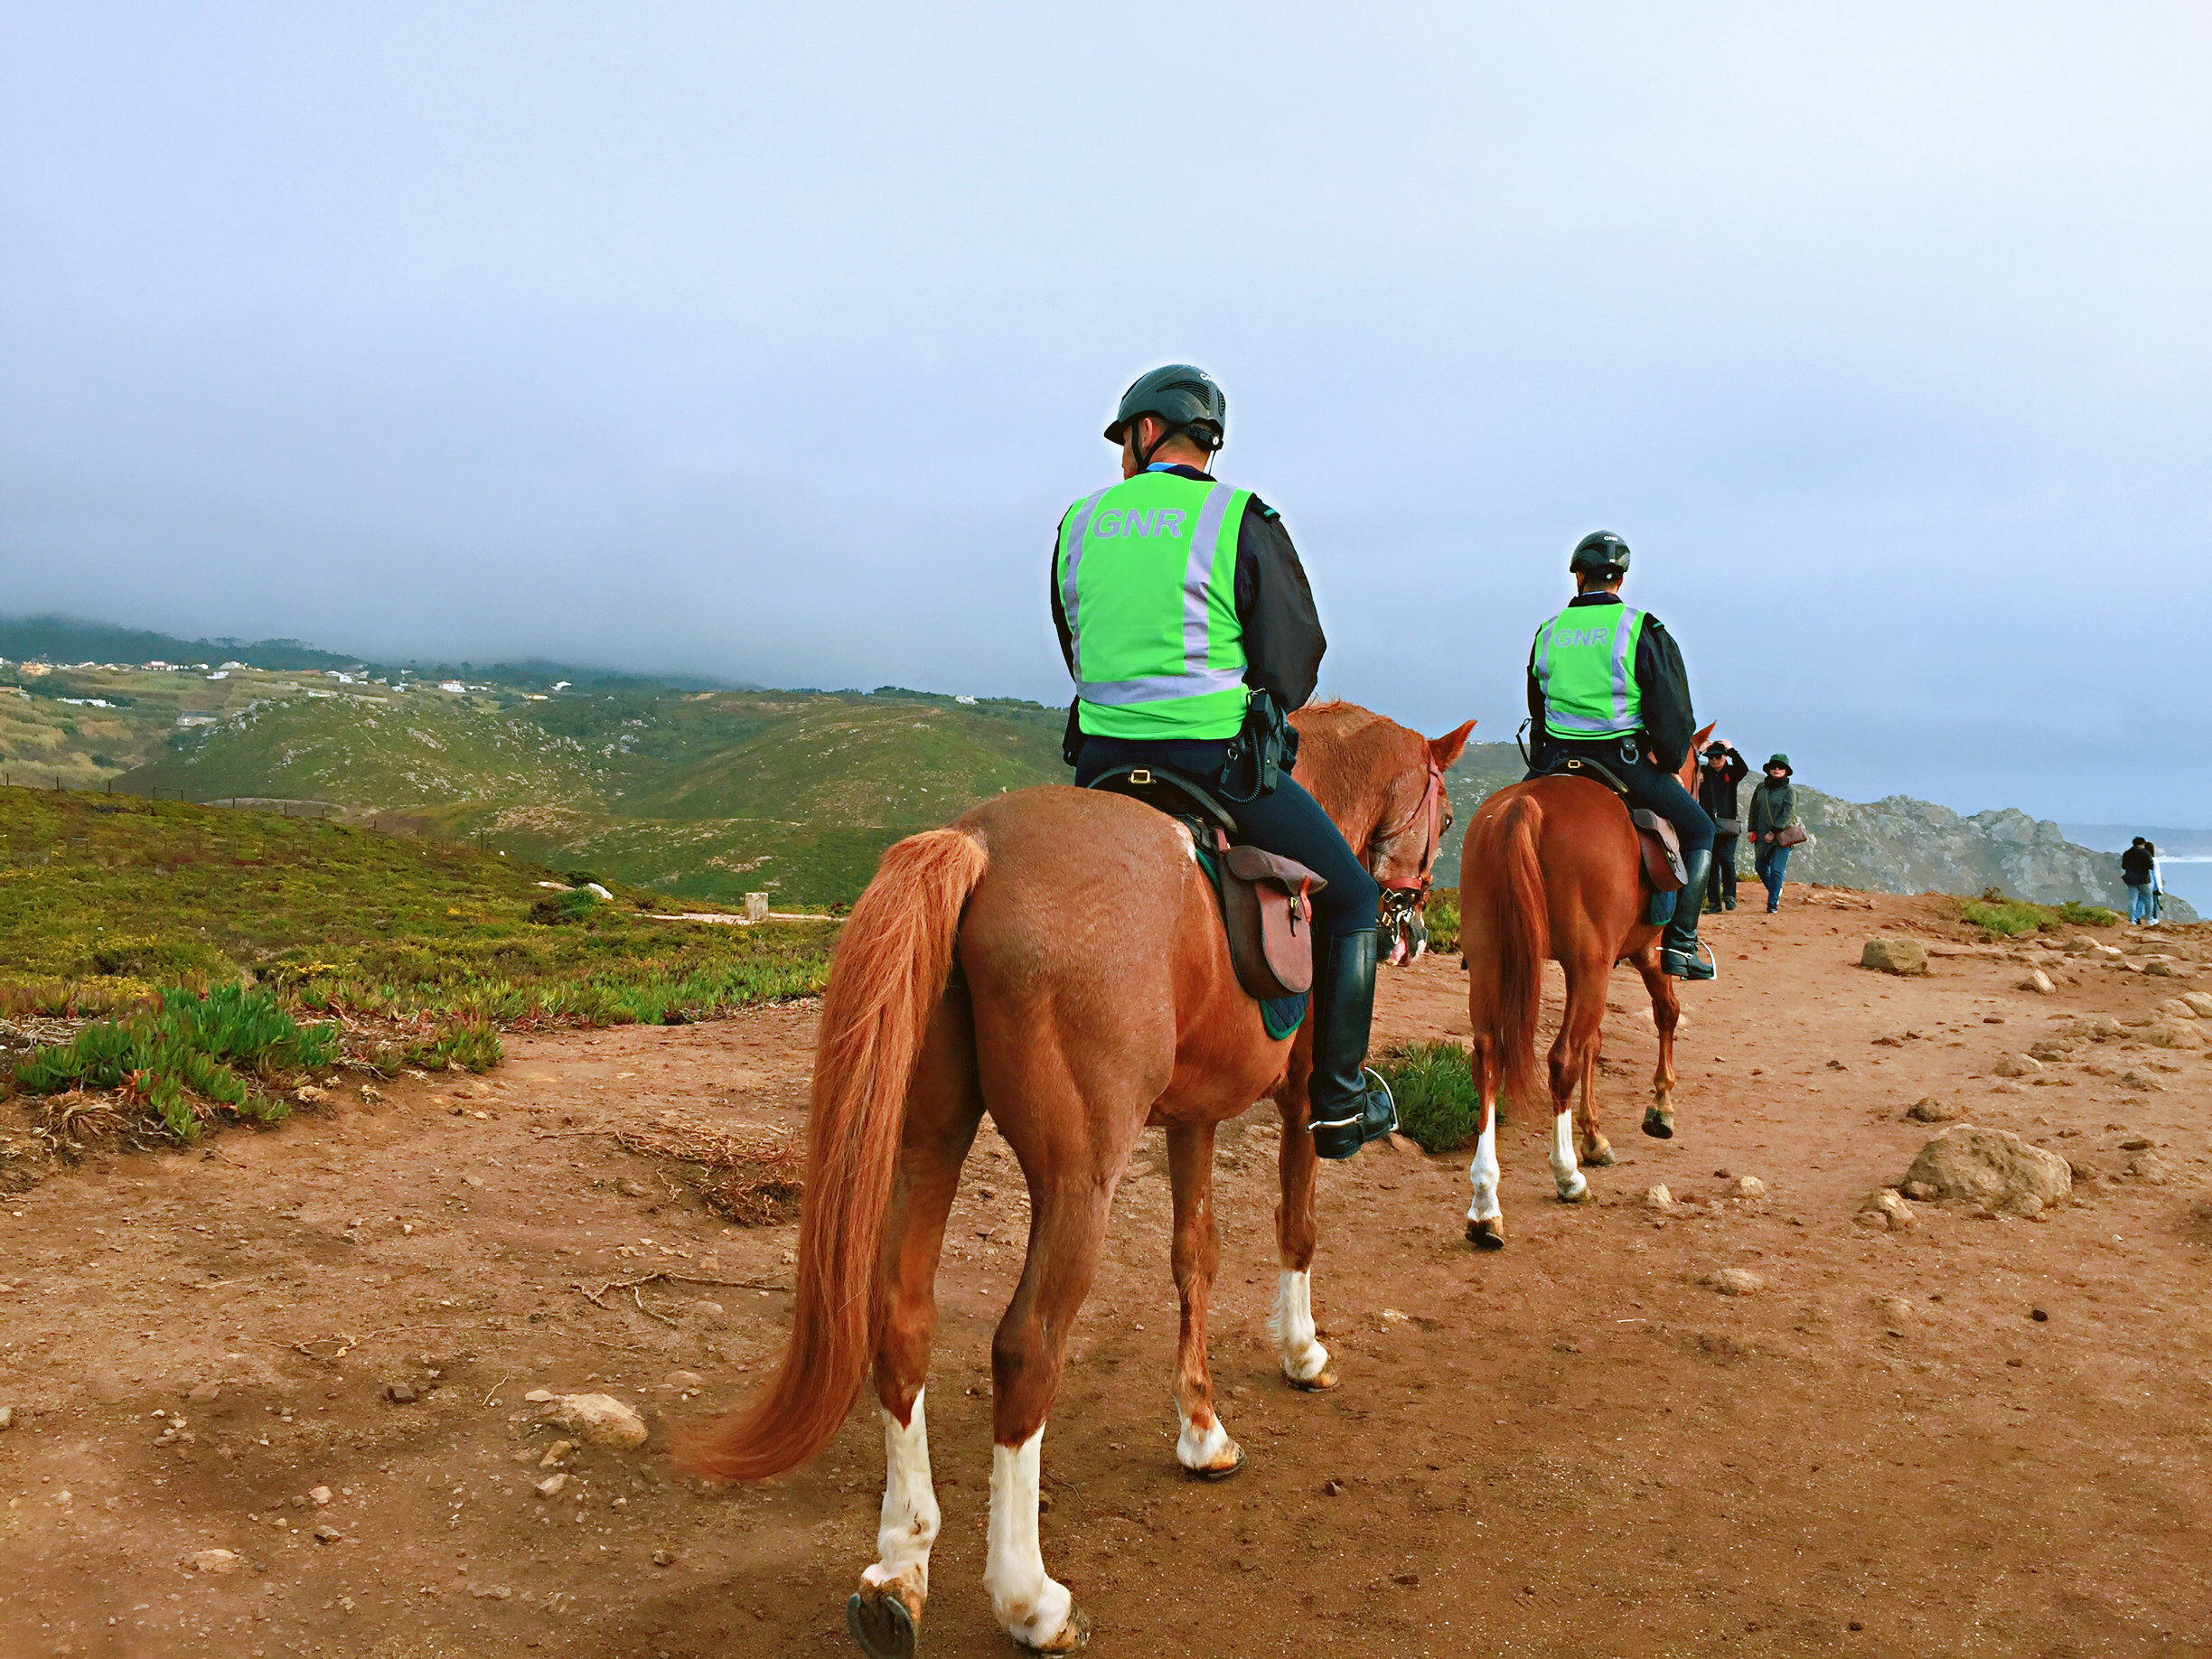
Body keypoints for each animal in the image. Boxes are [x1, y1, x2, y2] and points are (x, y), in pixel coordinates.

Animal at [680, 703, 1477, 1659]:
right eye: (1444, 812)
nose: (1416, 929)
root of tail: (979, 842)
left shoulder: (1195, 1119)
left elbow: (1195, 1258)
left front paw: (1202, 1431)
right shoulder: (1295, 1101)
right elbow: (1297, 1227)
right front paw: (1301, 1352)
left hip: (927, 1145)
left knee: (902, 1323)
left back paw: (899, 1569)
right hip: (1077, 1178)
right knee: (1026, 1348)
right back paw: (1030, 1600)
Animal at [1459, 721, 1716, 1256]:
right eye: (1700, 770)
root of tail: (1526, 806)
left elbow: (1595, 1042)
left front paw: (1595, 1136)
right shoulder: (1645, 953)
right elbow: (1665, 1012)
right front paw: (1660, 1107)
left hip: (1493, 960)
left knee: (1489, 1058)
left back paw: (1485, 1207)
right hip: (1591, 965)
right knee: (1561, 1060)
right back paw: (1566, 1176)